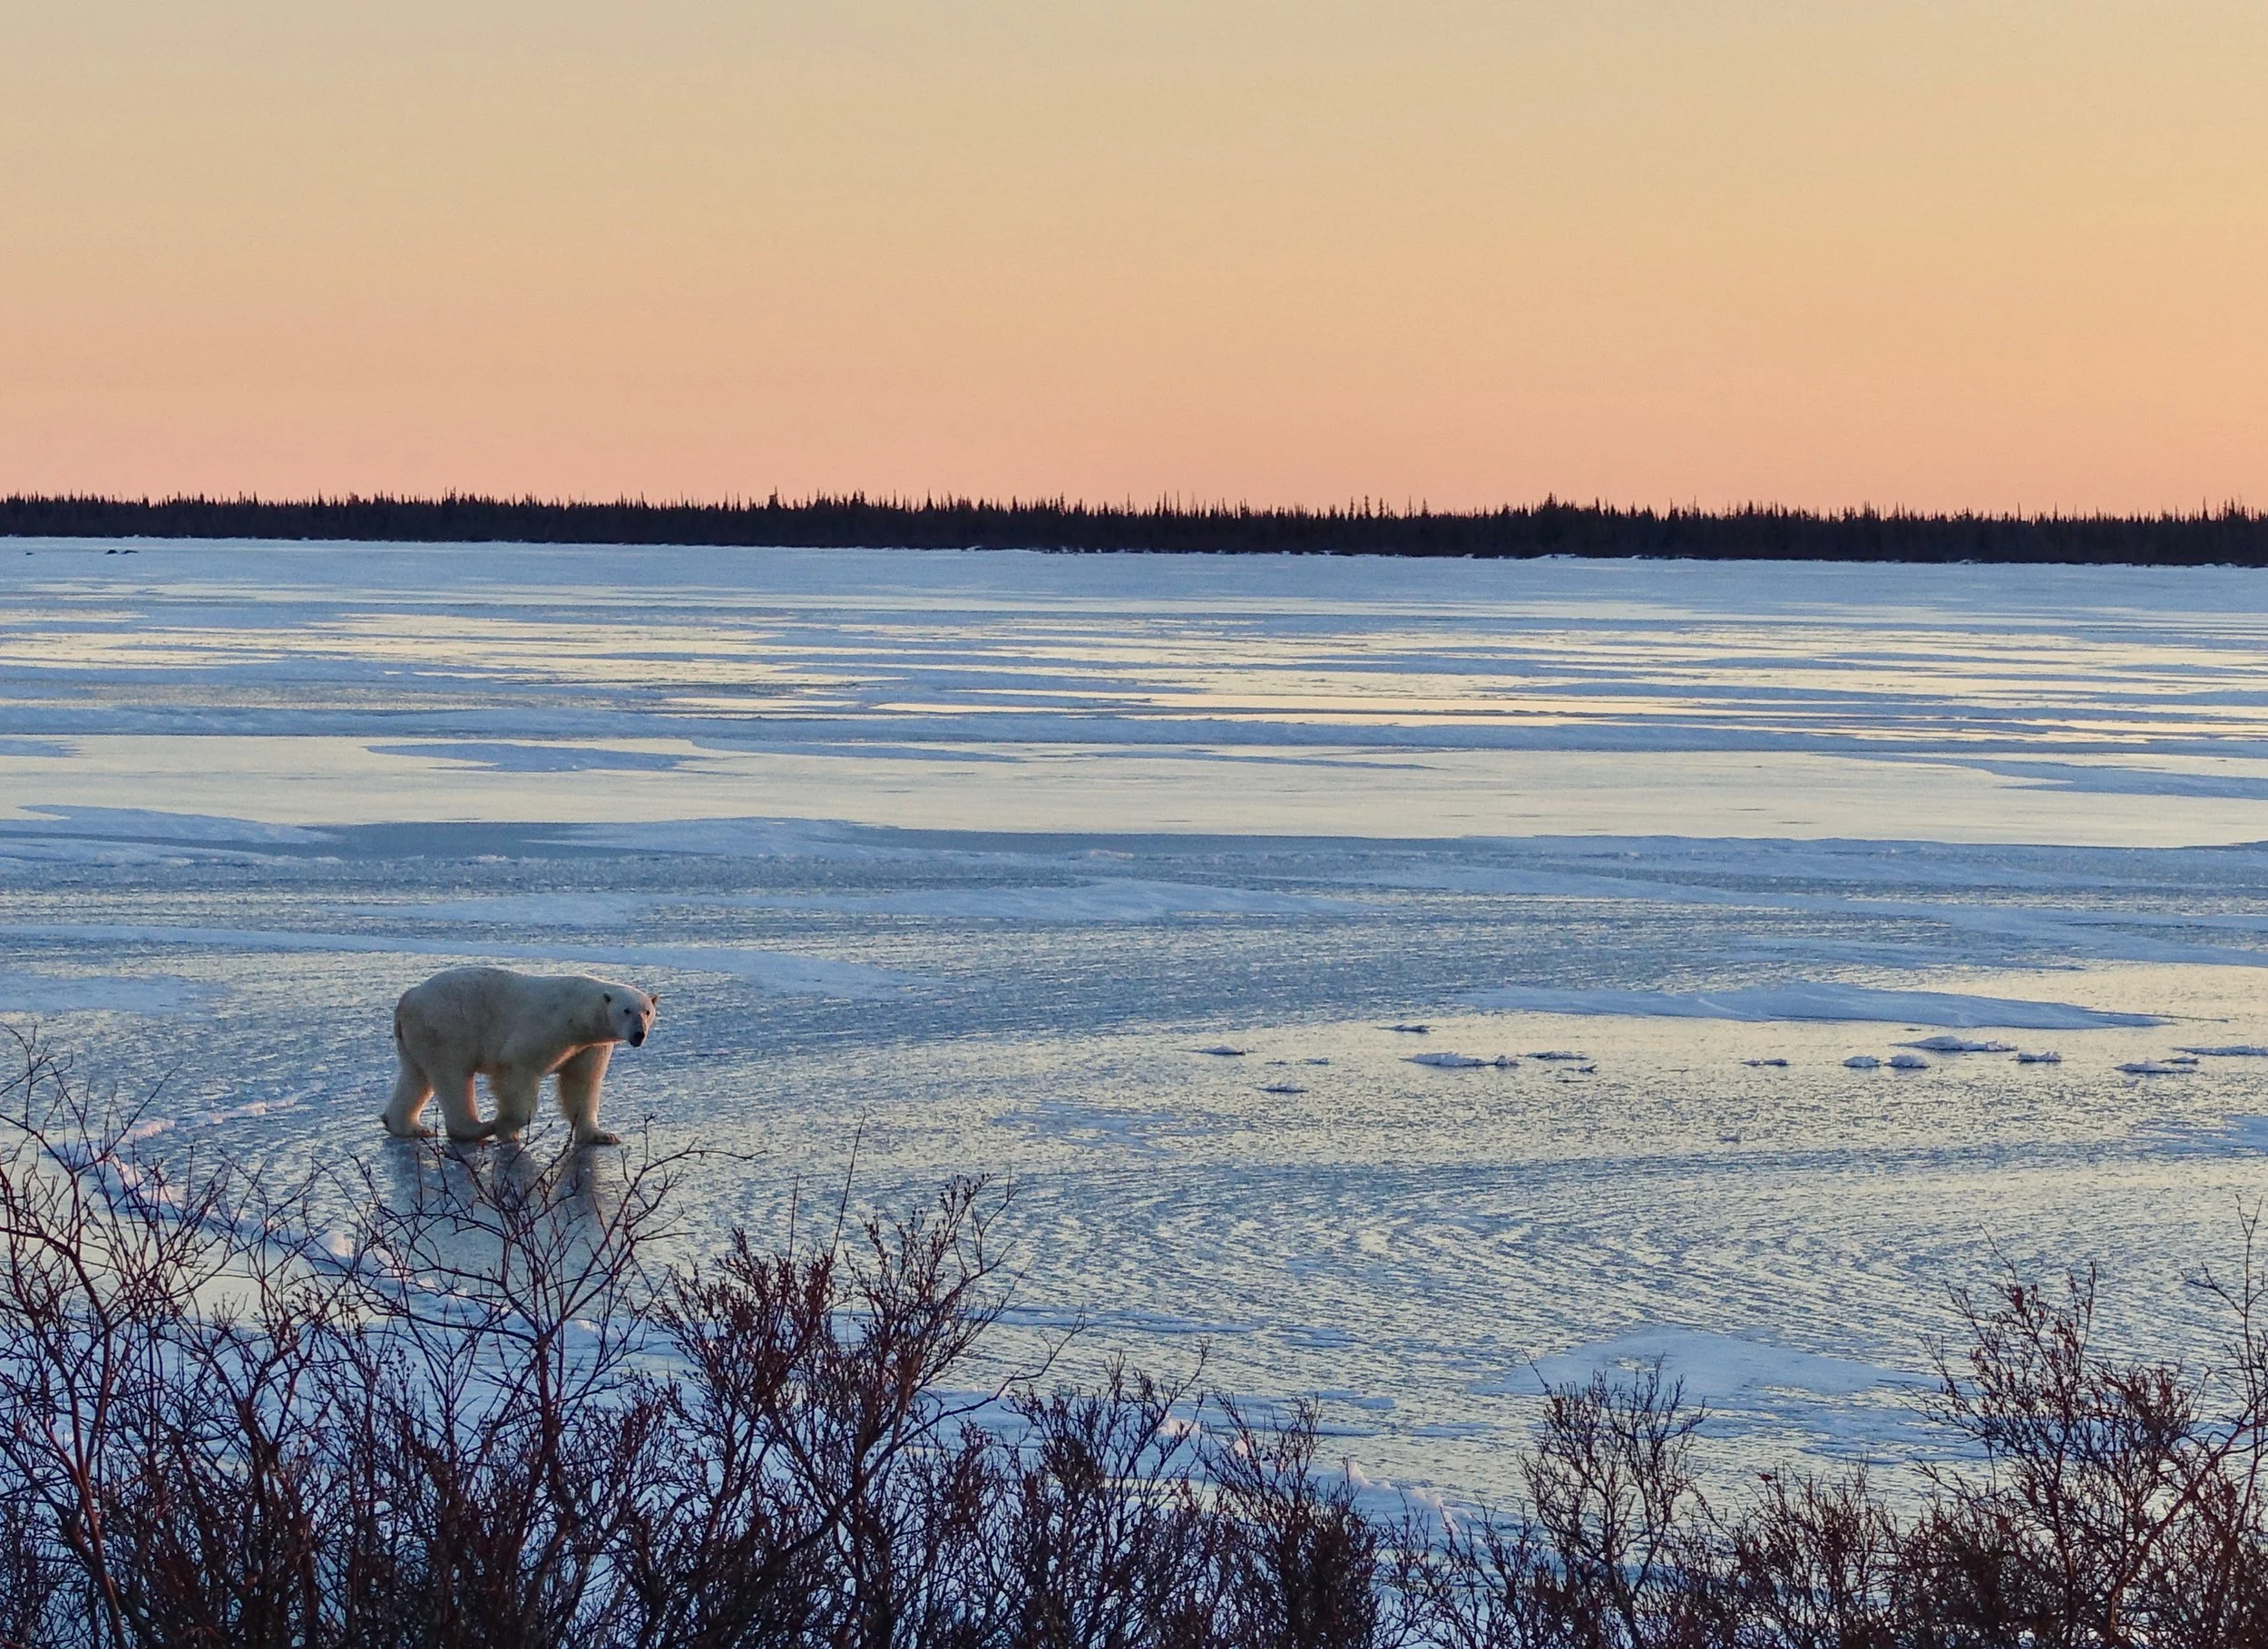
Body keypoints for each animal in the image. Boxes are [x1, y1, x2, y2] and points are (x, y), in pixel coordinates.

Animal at [381, 965, 660, 1147]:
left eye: (647, 1011)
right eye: (626, 1010)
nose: (639, 1034)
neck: (578, 1009)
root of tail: (407, 998)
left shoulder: (588, 1046)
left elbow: (582, 1083)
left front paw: (602, 1135)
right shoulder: (547, 1028)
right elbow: (517, 1070)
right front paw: (505, 1126)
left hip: (415, 1036)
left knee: (415, 1075)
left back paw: (409, 1126)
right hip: (445, 1027)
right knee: (452, 1077)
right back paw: (478, 1127)